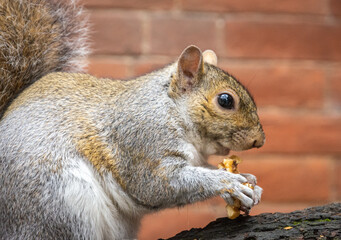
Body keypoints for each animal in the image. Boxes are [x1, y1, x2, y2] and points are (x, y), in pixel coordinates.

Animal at [0, 0, 264, 240]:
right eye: (225, 100)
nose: (259, 141)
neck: (172, 111)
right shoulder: (142, 142)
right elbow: (158, 185)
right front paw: (229, 182)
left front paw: (250, 180)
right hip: (59, 203)